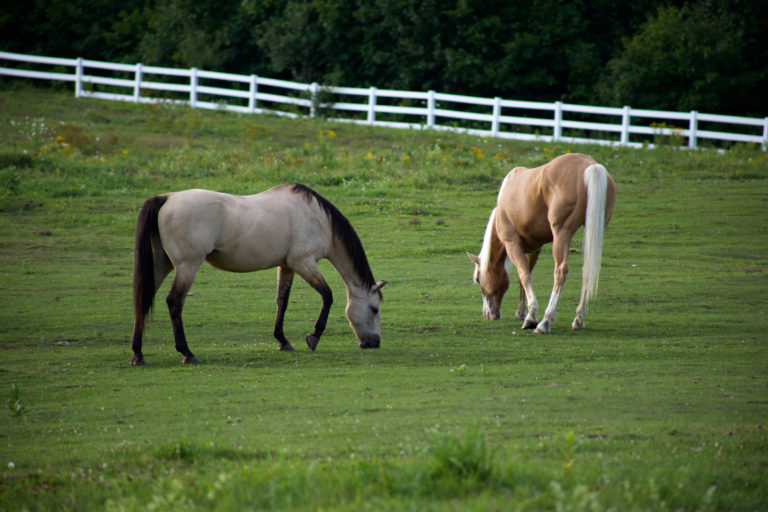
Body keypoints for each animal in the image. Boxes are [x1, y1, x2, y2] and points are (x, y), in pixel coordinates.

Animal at [130, 182, 390, 366]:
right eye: (374, 309)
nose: (375, 343)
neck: (317, 217)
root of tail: (167, 198)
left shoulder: (287, 266)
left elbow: (282, 301)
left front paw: (282, 341)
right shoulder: (304, 262)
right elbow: (327, 296)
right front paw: (314, 336)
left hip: (161, 264)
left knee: (143, 300)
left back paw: (138, 354)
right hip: (187, 266)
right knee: (174, 302)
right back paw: (187, 352)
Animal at [464, 152, 616, 334]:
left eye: (478, 279)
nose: (489, 314)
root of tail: (590, 166)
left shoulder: (512, 244)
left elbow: (524, 275)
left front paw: (530, 317)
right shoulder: (534, 248)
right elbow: (523, 277)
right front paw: (521, 312)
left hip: (561, 234)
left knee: (560, 271)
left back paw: (545, 321)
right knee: (587, 270)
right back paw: (578, 319)